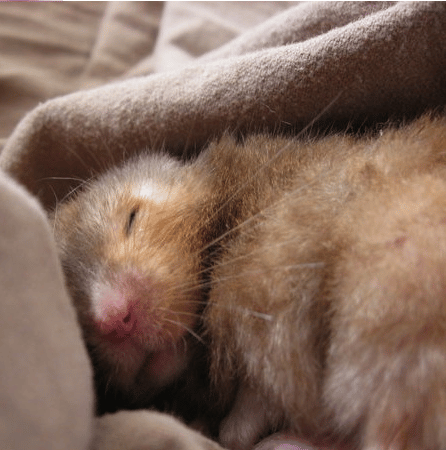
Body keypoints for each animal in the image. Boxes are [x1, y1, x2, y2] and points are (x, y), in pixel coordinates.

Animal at [51, 115, 446, 450]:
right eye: (73, 299)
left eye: (132, 218)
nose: (114, 320)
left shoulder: (272, 313)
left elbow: (252, 405)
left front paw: (231, 431)